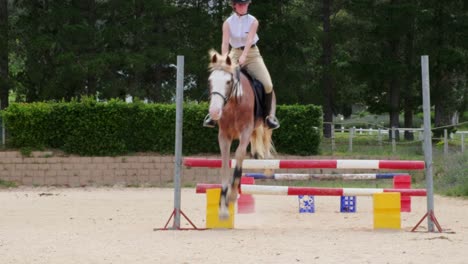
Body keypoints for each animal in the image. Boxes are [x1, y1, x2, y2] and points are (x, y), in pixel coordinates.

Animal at [207, 49, 276, 219]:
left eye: (228, 82)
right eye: (210, 81)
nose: (214, 112)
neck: (233, 103)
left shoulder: (245, 132)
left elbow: (238, 155)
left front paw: (231, 195)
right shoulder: (224, 136)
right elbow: (225, 161)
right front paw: (223, 206)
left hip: (265, 123)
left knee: (265, 146)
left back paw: (267, 167)